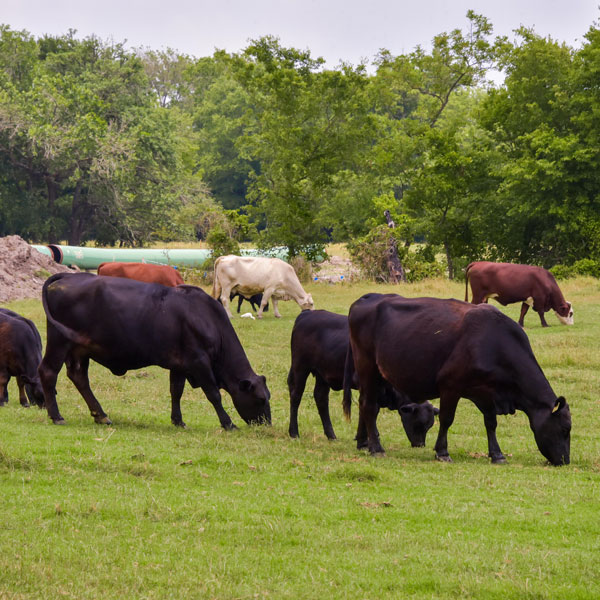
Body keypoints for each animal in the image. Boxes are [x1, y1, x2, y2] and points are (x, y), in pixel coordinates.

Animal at [38, 272, 270, 426]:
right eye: (260, 399)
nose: (266, 424)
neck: (206, 319)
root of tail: (67, 276)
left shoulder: (180, 365)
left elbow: (176, 391)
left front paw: (178, 420)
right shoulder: (199, 362)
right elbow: (213, 394)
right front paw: (228, 423)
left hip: (80, 350)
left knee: (79, 378)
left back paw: (101, 415)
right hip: (59, 342)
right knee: (49, 372)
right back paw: (57, 416)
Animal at [288, 310, 438, 446]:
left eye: (429, 426)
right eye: (418, 423)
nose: (420, 445)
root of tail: (307, 313)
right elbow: (369, 409)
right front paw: (367, 440)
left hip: (322, 375)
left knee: (321, 399)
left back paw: (331, 435)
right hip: (300, 367)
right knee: (296, 396)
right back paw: (294, 432)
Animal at [344, 292, 568, 466]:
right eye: (565, 428)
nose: (565, 460)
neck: (493, 343)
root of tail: (367, 297)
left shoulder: (486, 392)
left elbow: (491, 422)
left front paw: (497, 454)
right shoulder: (450, 386)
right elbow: (446, 419)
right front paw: (442, 452)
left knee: (365, 405)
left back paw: (364, 443)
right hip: (367, 368)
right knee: (368, 406)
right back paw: (376, 448)